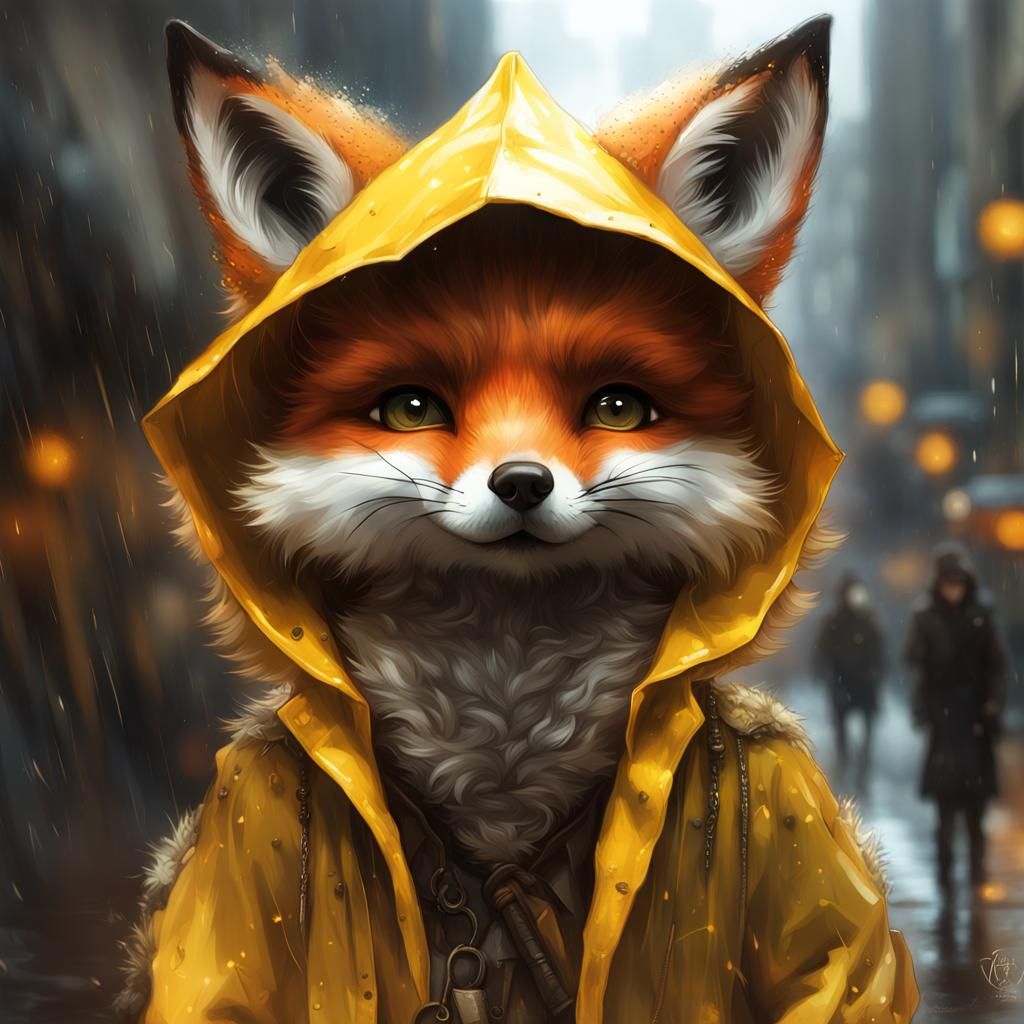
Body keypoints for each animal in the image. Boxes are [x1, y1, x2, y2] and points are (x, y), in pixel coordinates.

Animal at [120, 15, 919, 1024]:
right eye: (411, 407)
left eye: (617, 406)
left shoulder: (785, 797)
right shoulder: (250, 806)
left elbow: (833, 963)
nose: (523, 483)